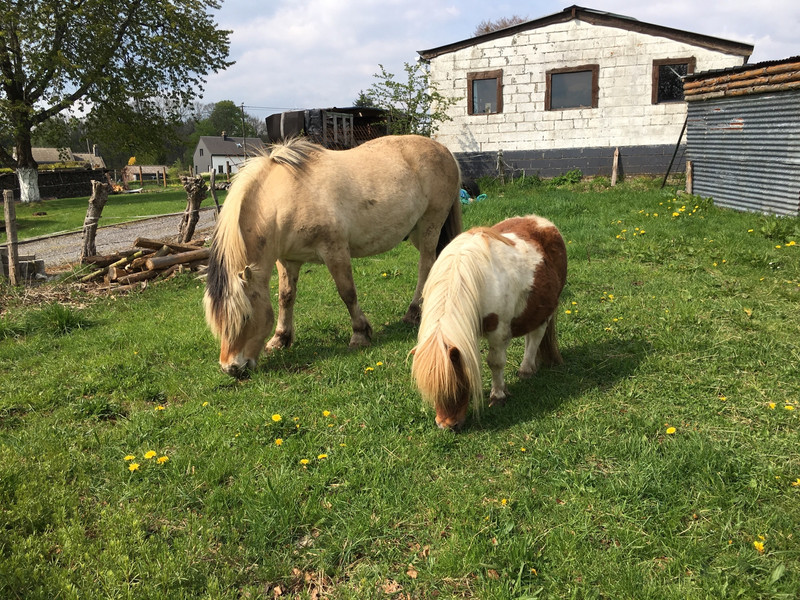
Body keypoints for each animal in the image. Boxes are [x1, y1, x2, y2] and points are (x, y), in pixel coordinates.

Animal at [205, 137, 462, 380]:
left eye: (246, 316)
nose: (231, 368)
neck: (286, 196)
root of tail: (444, 151)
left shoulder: (335, 251)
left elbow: (347, 293)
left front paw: (360, 334)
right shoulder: (287, 261)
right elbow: (285, 297)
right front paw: (280, 339)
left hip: (430, 226)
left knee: (425, 265)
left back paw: (413, 312)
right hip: (417, 231)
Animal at [412, 216, 568, 432]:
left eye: (459, 384)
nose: (446, 426)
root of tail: (541, 221)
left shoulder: (498, 331)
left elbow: (495, 362)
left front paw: (498, 396)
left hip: (546, 310)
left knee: (536, 335)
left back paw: (526, 369)